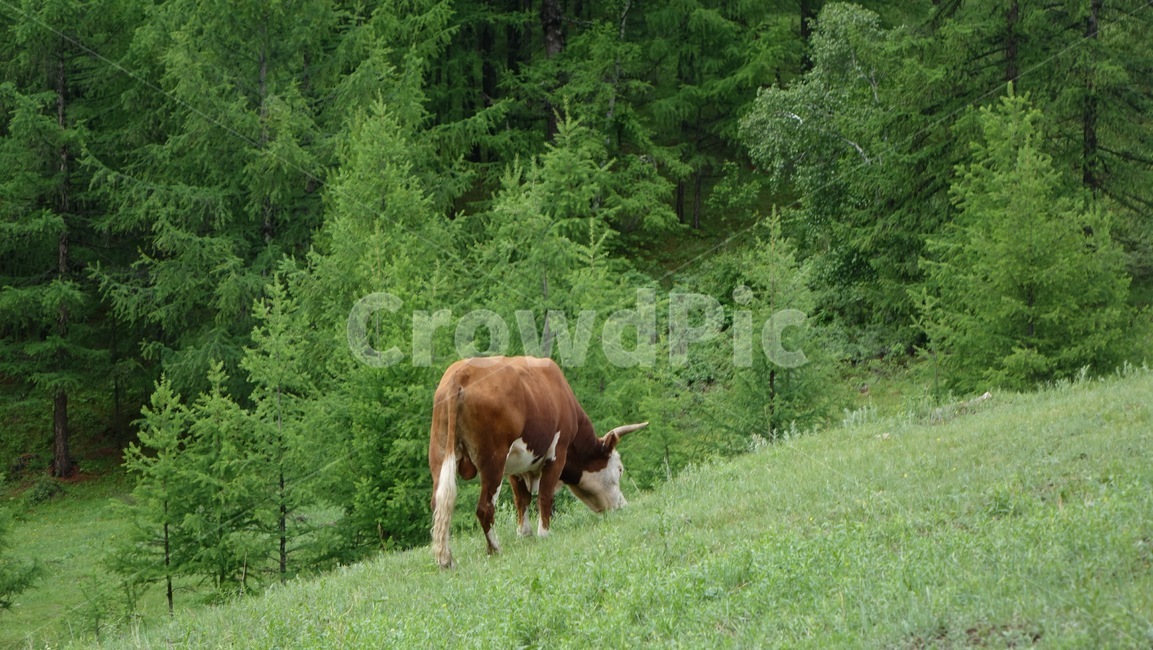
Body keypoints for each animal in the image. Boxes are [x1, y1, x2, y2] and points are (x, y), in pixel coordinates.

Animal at [428, 356, 647, 568]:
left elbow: (521, 499)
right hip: (493, 461)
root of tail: (461, 373)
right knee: (484, 508)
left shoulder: (515, 465)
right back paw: (494, 549)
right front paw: (544, 533)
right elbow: (545, 494)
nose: (623, 505)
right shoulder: (557, 454)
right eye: (620, 469)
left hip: (440, 455)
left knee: (440, 502)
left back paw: (445, 559)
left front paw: (525, 533)